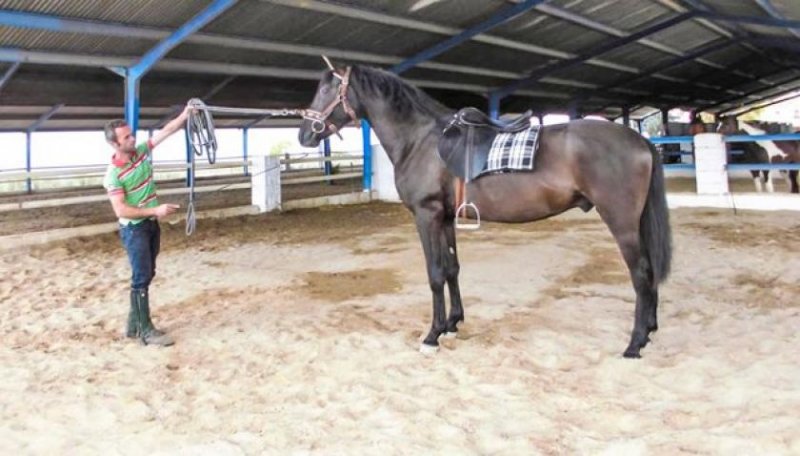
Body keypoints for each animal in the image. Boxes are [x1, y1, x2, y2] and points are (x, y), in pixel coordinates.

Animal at [296, 64, 672, 358]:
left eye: (328, 88)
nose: (304, 135)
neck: (420, 141)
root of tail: (640, 141)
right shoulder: (446, 217)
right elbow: (452, 269)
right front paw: (452, 323)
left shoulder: (427, 215)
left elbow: (435, 274)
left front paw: (432, 335)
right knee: (649, 272)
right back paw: (650, 330)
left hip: (621, 222)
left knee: (640, 273)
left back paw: (635, 343)